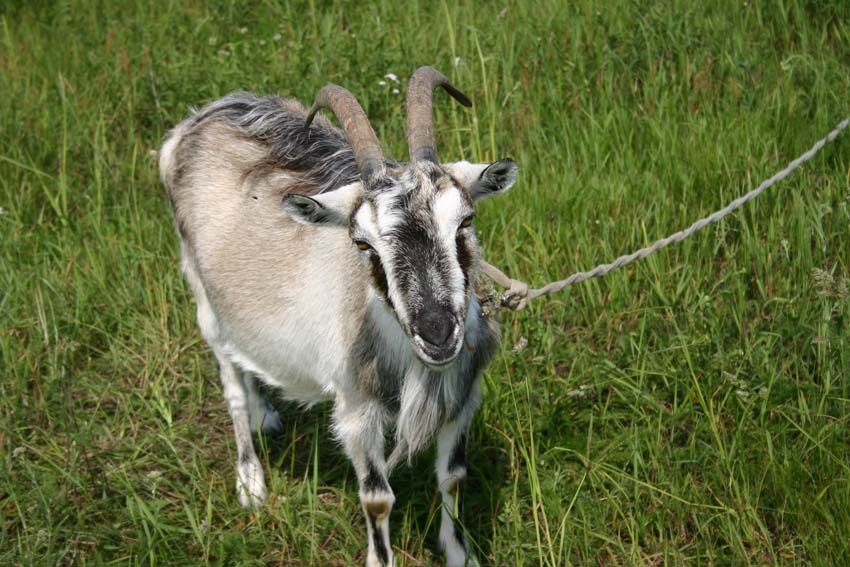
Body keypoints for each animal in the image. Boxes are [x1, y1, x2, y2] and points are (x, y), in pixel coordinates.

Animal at [159, 66, 518, 566]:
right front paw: (380, 558)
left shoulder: (462, 397)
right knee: (230, 385)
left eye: (465, 221)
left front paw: (459, 553)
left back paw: (264, 414)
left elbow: (452, 477)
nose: (437, 333)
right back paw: (250, 481)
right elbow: (377, 498)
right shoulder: (356, 410)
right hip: (204, 299)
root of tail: (199, 119)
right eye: (362, 243)